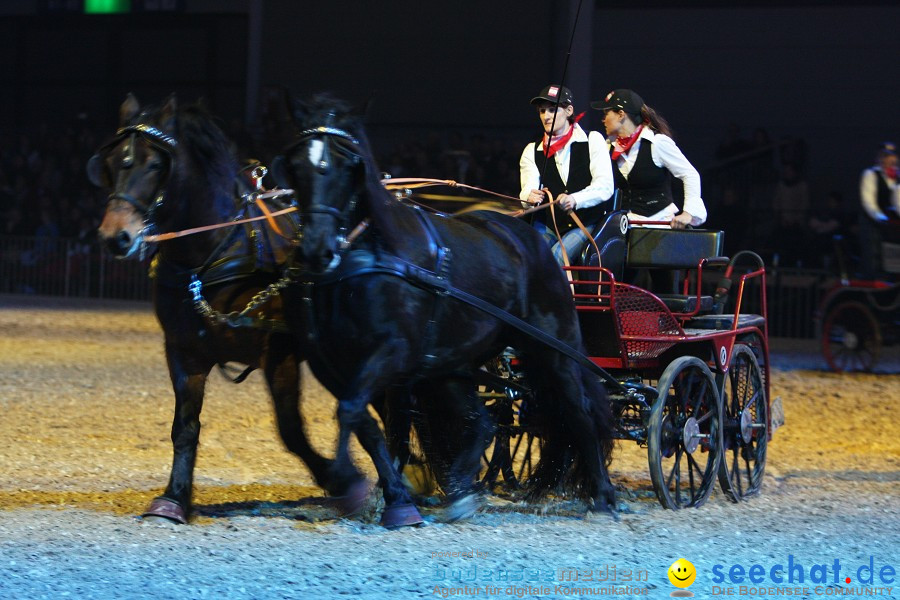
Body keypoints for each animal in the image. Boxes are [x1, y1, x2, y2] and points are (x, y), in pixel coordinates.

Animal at [91, 95, 358, 524]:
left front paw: (340, 479)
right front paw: (174, 497)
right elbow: (184, 427)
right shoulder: (184, 352)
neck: (211, 254)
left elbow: (290, 428)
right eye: (114, 162)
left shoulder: (279, 352)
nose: (116, 236)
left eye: (155, 165)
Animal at [276, 94, 620, 524]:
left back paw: (603, 496)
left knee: (579, 412)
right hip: (454, 364)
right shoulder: (332, 363)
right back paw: (460, 490)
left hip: (555, 349)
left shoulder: (392, 353)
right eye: (295, 163)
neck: (367, 255)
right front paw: (386, 494)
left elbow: (357, 413)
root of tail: (534, 240)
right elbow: (364, 423)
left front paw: (352, 482)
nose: (316, 249)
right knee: (484, 422)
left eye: (347, 162)